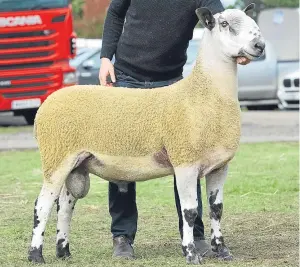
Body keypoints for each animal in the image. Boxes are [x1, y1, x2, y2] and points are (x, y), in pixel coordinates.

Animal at [28, 4, 264, 266]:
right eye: (224, 24)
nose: (259, 45)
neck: (203, 94)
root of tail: (46, 104)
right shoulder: (185, 161)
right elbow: (189, 212)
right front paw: (191, 253)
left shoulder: (220, 165)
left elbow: (216, 209)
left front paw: (221, 250)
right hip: (56, 156)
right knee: (42, 206)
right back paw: (36, 255)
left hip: (77, 163)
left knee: (65, 207)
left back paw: (64, 252)